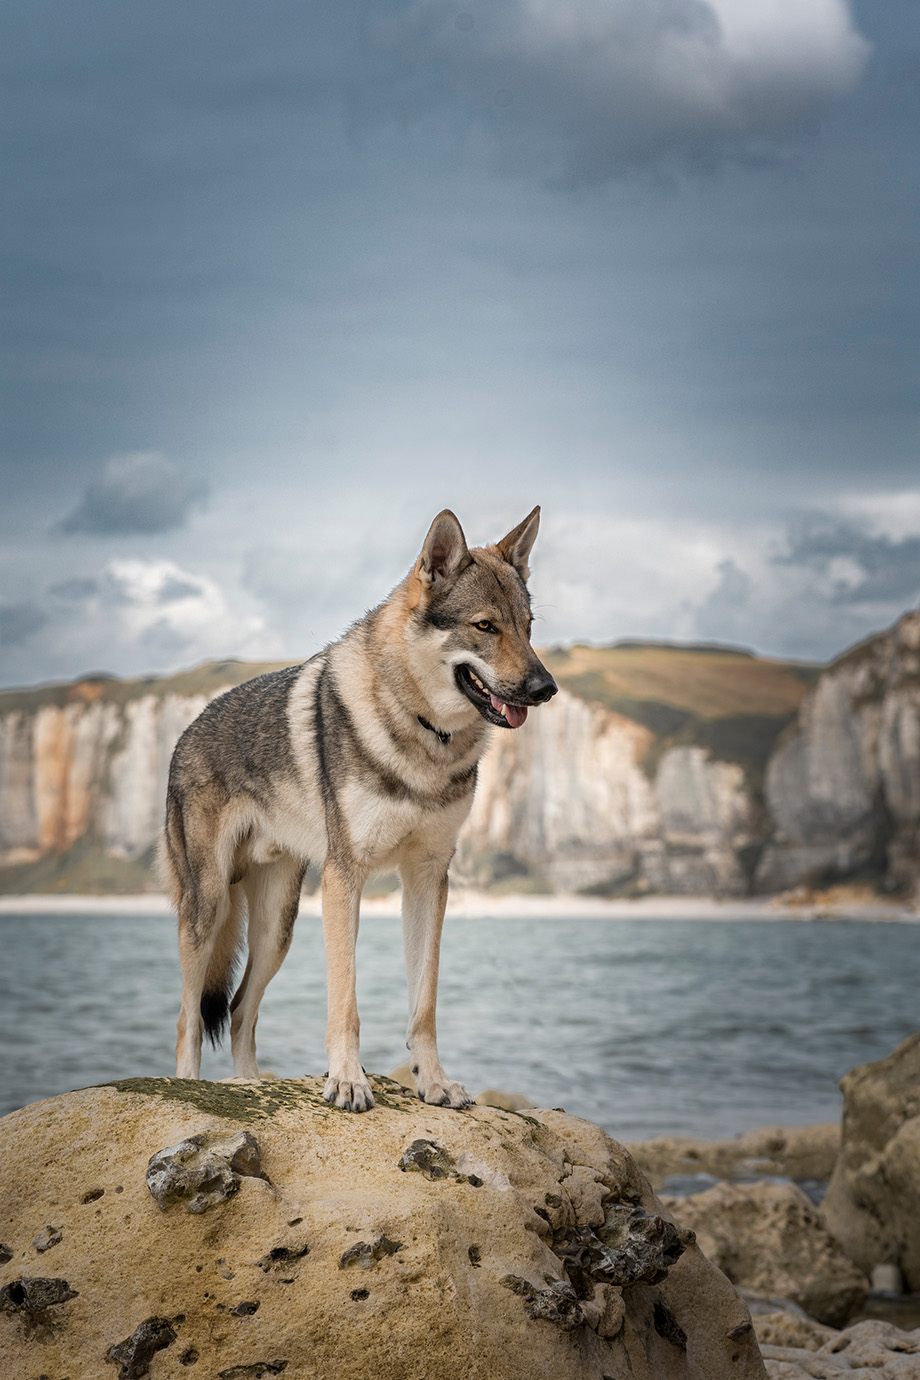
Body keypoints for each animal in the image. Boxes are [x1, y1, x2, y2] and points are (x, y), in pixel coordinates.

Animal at [162, 507, 557, 1109]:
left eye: (528, 628)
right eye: (486, 626)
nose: (546, 687)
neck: (425, 734)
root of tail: (186, 732)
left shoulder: (428, 879)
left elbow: (424, 1004)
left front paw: (434, 1082)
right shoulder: (345, 878)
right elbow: (344, 1000)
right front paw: (348, 1081)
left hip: (276, 929)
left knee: (238, 1013)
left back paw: (249, 1087)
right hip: (208, 909)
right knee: (189, 1018)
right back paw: (192, 1089)